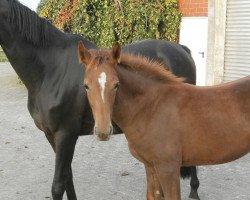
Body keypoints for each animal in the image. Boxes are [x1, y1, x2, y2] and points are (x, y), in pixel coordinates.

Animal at [0, 0, 199, 199]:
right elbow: (68, 177)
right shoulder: (51, 135)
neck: (51, 69)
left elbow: (58, 185)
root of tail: (182, 49)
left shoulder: (65, 134)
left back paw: (194, 191)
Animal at [79, 41, 250, 199]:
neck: (152, 107)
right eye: (86, 86)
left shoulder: (168, 168)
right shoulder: (150, 165)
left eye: (116, 84)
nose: (103, 132)